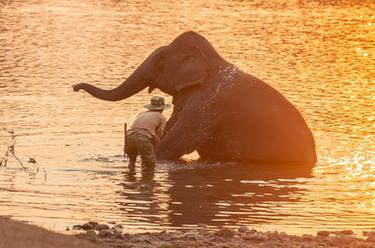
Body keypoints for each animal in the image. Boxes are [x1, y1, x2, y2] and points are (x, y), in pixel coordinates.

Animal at [72, 31, 318, 167]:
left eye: (160, 61)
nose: (75, 87)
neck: (212, 59)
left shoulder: (208, 103)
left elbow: (182, 137)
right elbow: (170, 127)